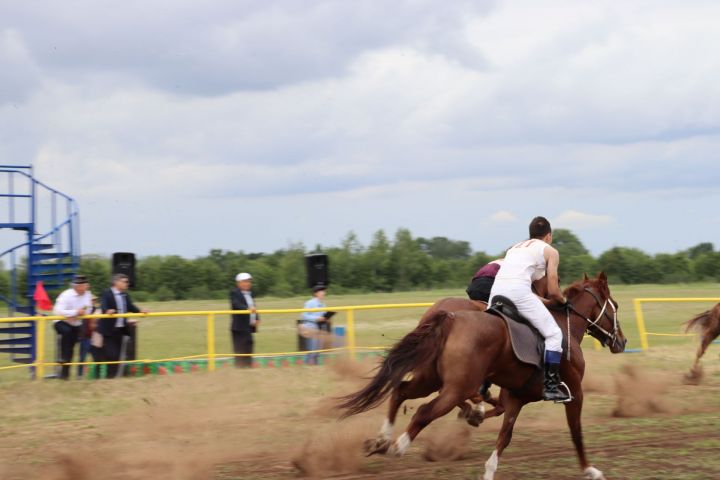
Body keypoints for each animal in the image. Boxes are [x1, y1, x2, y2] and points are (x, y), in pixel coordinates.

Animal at [338, 274, 624, 480]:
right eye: (616, 306)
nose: (622, 341)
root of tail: (448, 317)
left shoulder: (516, 397)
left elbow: (504, 436)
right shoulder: (575, 392)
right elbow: (576, 432)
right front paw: (591, 471)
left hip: (431, 379)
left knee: (401, 391)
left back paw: (381, 440)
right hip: (456, 386)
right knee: (424, 411)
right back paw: (397, 446)